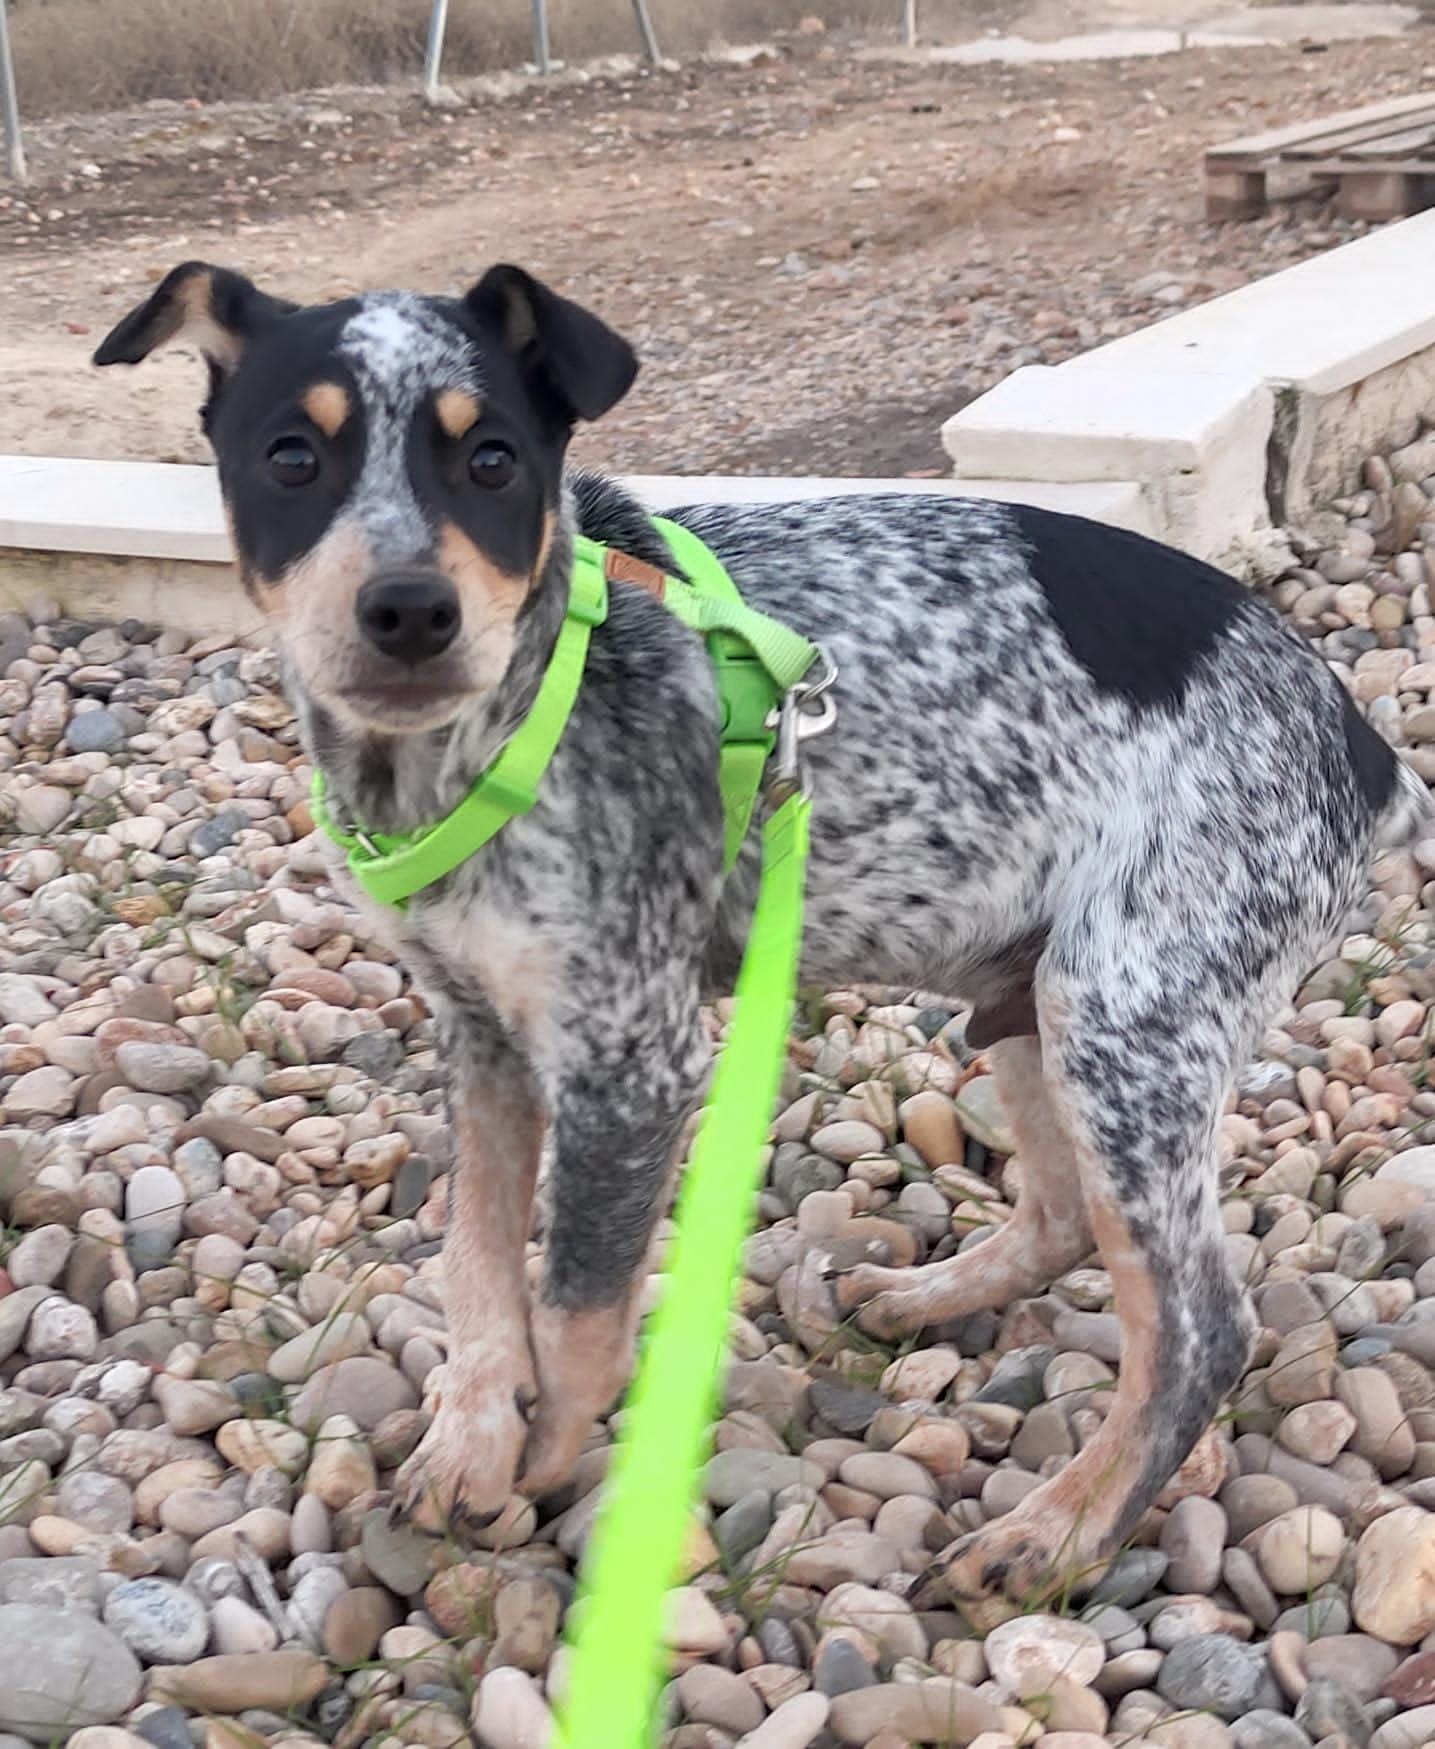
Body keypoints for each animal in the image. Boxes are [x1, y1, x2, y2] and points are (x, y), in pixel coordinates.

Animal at [92, 260, 1429, 1606]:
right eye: (291, 458)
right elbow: (474, 1262)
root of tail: (1364, 752)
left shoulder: (632, 1060)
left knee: (1202, 1328)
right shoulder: (478, 1034)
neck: (482, 741)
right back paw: (926, 1301)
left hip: (1127, 1021)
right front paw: (467, 1444)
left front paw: (541, 1467)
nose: (410, 610)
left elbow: (576, 1310)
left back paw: (1059, 1531)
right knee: (1060, 1219)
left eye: (494, 463)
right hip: (1036, 1002)